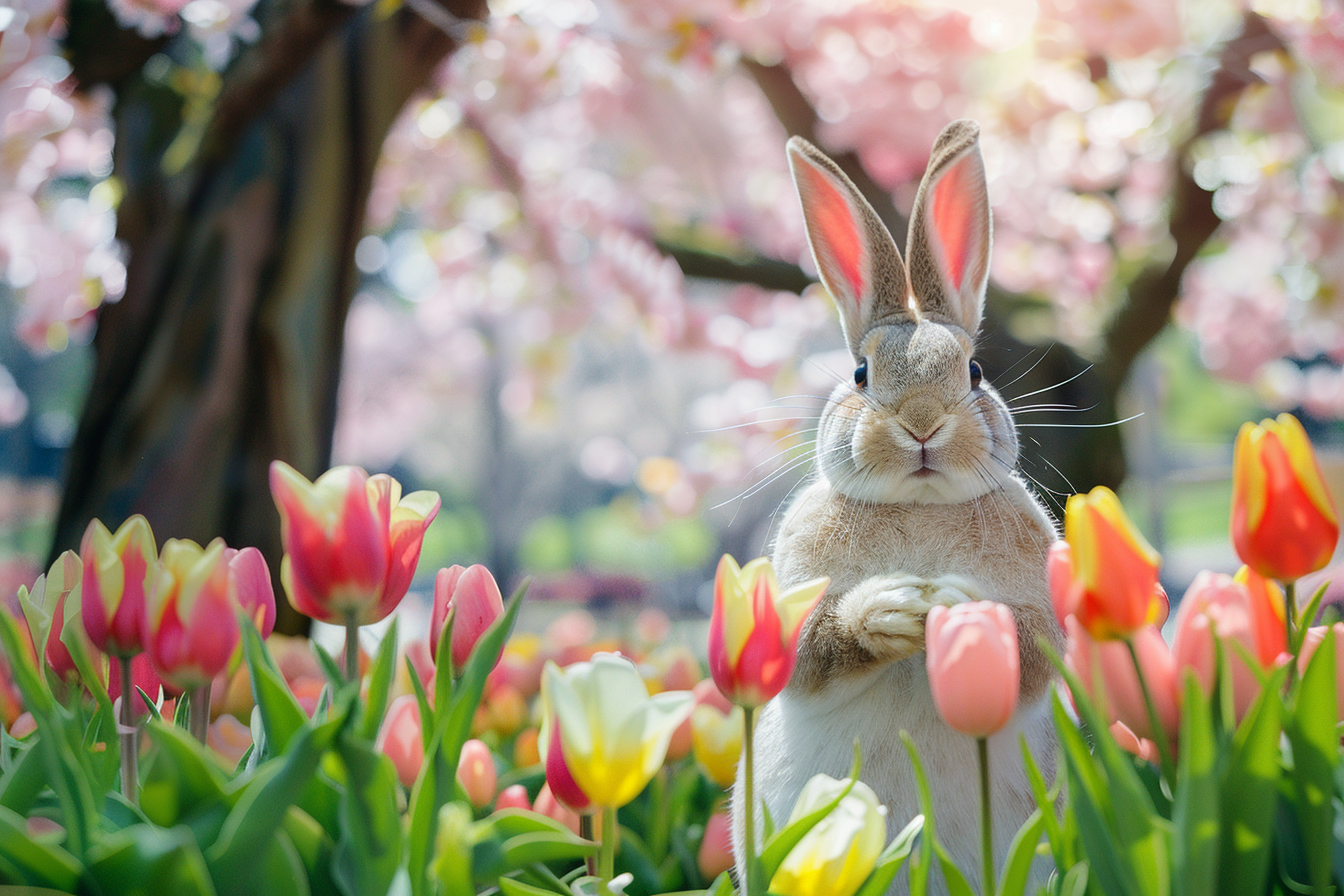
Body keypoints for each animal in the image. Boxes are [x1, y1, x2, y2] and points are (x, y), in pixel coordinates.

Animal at [734, 120, 1063, 895]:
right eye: (861, 373)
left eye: (974, 371)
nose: (921, 424)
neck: (919, 506)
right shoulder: (795, 615)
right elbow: (814, 647)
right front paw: (894, 610)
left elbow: (1032, 646)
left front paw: (956, 604)